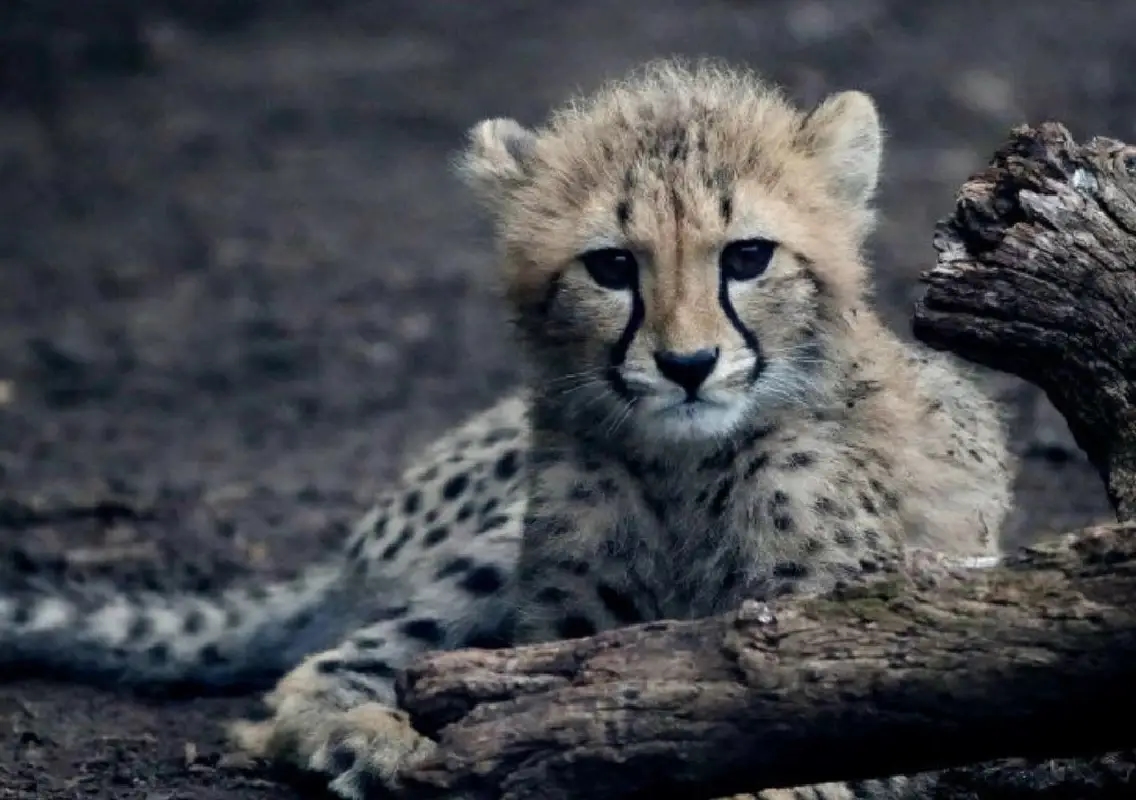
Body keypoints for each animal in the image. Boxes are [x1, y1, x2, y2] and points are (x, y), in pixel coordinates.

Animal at [0, 60, 1014, 800]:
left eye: (748, 256)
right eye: (612, 267)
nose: (687, 365)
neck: (682, 468)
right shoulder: (572, 628)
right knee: (314, 675)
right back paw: (373, 743)